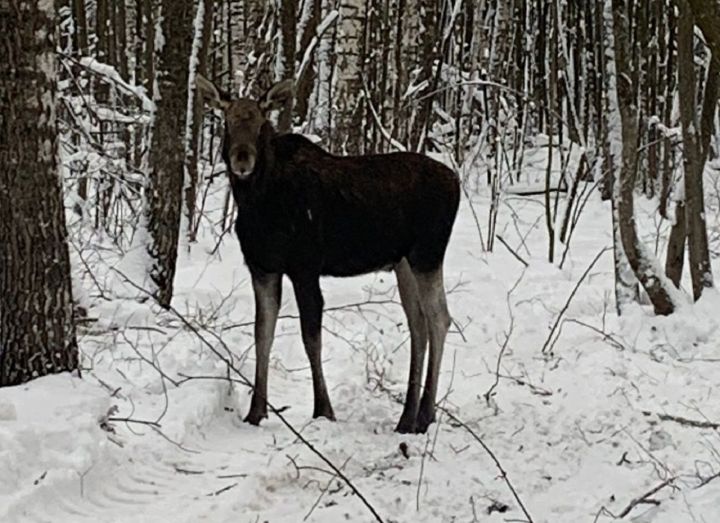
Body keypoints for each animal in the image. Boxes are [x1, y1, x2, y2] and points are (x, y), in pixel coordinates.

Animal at [196, 74, 460, 434]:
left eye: (261, 121)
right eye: (228, 119)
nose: (242, 158)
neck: (258, 205)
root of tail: (456, 182)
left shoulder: (305, 266)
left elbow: (311, 337)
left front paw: (323, 409)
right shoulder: (262, 268)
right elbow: (262, 333)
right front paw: (255, 411)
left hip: (428, 254)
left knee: (439, 318)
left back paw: (425, 415)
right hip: (403, 262)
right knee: (418, 323)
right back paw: (407, 417)